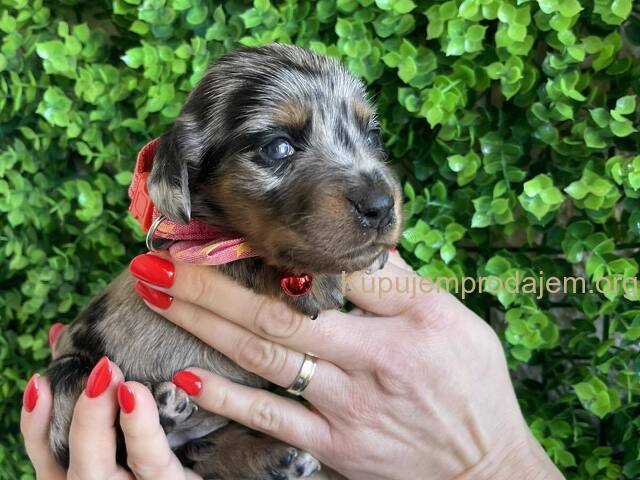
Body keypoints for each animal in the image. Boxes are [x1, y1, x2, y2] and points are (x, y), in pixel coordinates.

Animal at [47, 43, 402, 479]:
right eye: (278, 147)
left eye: (373, 134)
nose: (381, 206)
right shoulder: (191, 249)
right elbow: (242, 254)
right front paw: (312, 280)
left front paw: (374, 257)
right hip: (72, 377)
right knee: (116, 443)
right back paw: (163, 408)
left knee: (202, 448)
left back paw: (274, 457)